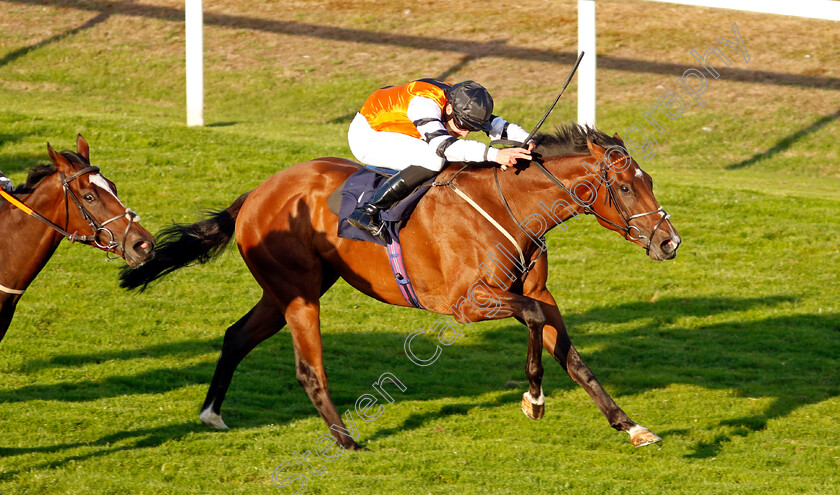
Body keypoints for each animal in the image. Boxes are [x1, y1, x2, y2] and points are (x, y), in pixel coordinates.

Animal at [120, 124, 684, 450]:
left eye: (650, 180)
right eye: (626, 186)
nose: (669, 241)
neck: (511, 208)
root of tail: (257, 192)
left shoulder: (542, 294)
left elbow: (572, 356)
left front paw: (630, 425)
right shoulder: (469, 303)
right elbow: (532, 320)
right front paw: (534, 398)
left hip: (289, 289)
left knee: (237, 335)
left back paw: (212, 413)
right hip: (299, 293)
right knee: (308, 369)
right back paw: (347, 441)